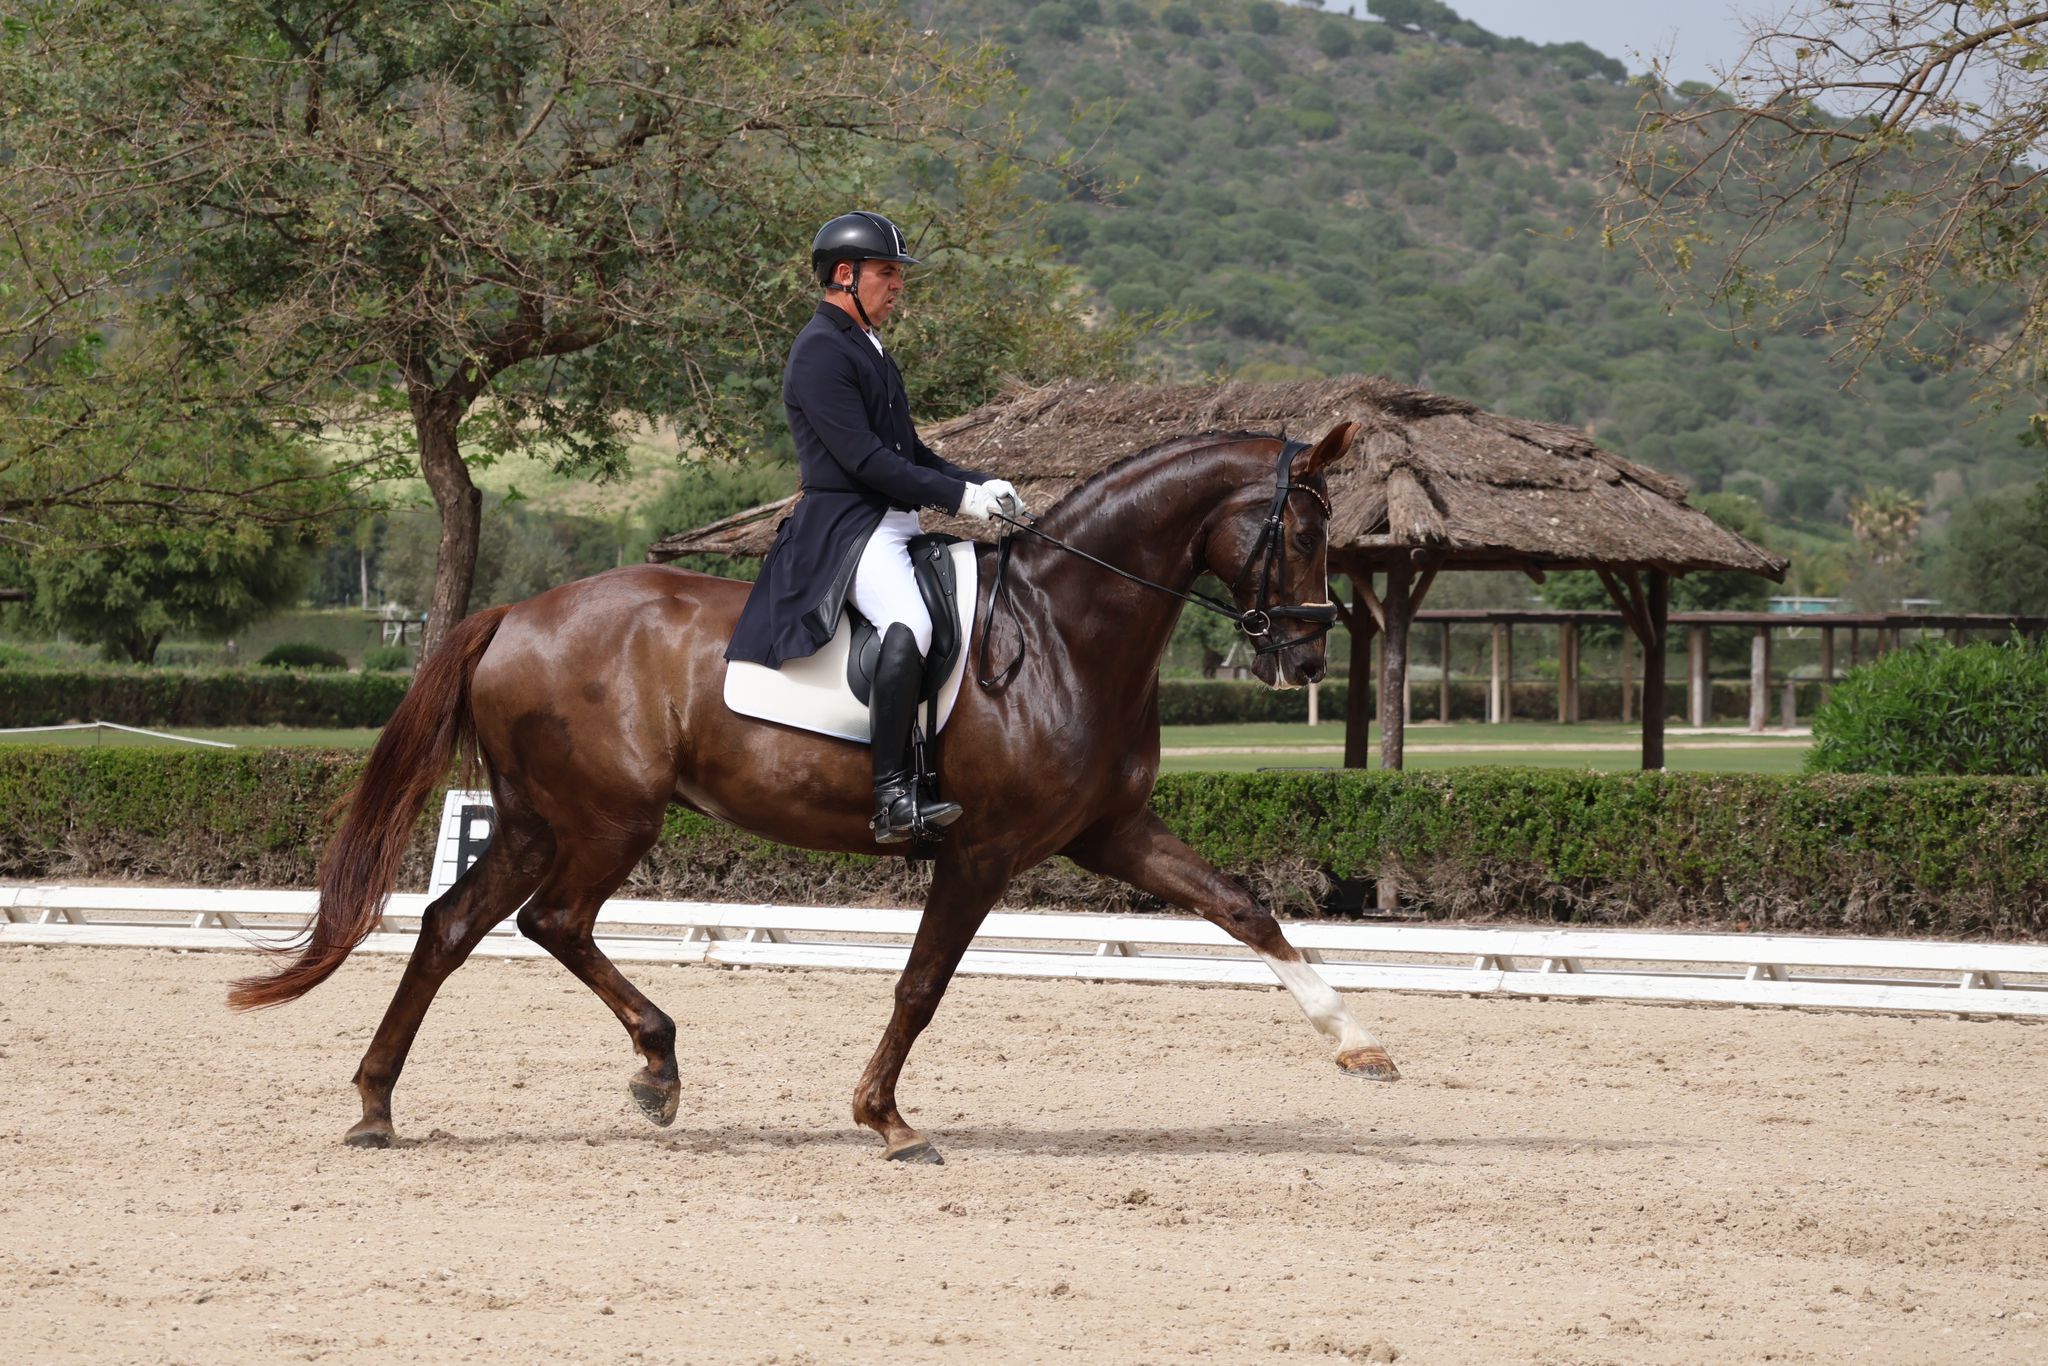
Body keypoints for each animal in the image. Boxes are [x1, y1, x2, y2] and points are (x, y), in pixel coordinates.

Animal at [232, 423, 1400, 1163]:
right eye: (1300, 532)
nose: (1304, 655)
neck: (1067, 630)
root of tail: (516, 612)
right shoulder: (981, 852)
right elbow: (921, 986)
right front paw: (886, 1120)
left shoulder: (1111, 831)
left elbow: (1244, 906)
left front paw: (1357, 1043)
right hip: (606, 818)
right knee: (549, 921)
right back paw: (653, 1066)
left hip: (533, 819)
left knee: (452, 926)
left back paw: (380, 1105)